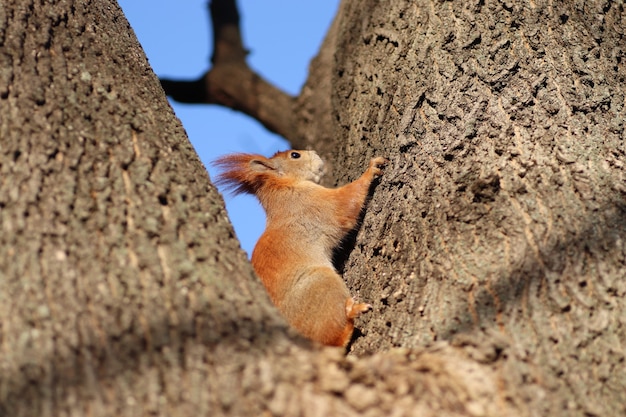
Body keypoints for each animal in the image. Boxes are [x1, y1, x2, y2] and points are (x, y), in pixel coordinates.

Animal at [214, 149, 386, 344]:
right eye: (295, 155)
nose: (315, 153)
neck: (285, 187)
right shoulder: (314, 203)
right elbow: (346, 201)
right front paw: (371, 169)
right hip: (321, 282)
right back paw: (351, 314)